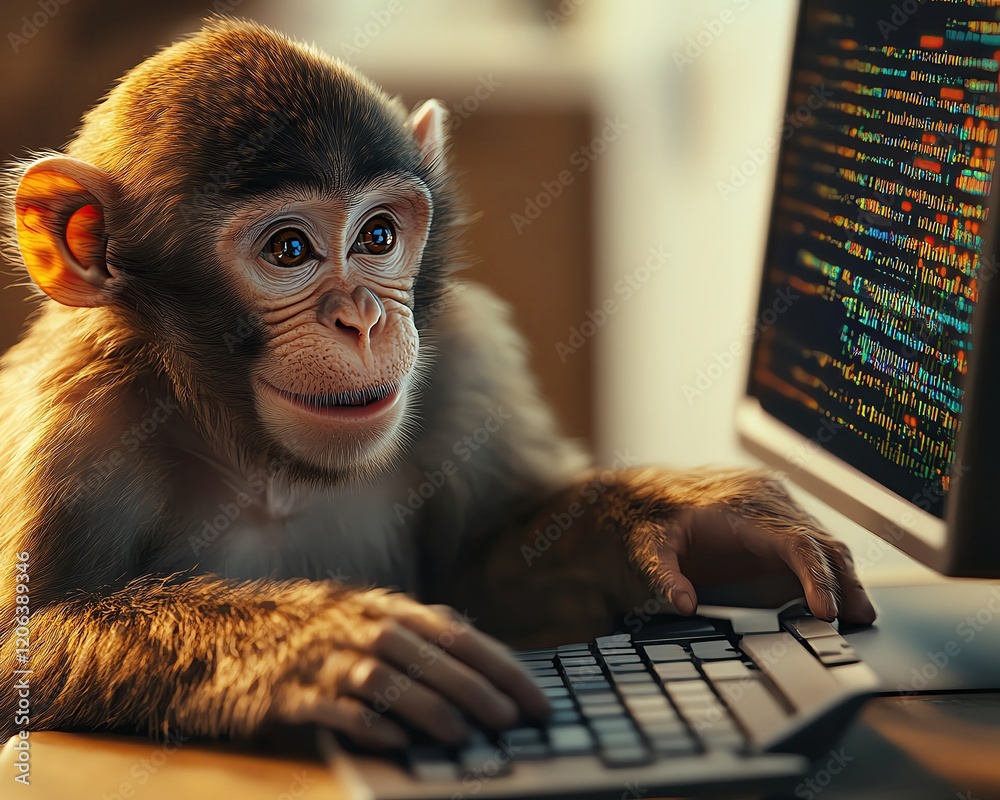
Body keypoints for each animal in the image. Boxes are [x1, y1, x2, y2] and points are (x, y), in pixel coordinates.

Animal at [0, 18, 876, 750]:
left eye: (379, 235)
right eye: (289, 249)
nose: (361, 320)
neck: (263, 459)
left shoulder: (464, 363)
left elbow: (483, 563)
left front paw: (674, 515)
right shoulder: (70, 428)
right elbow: (19, 647)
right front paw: (318, 645)